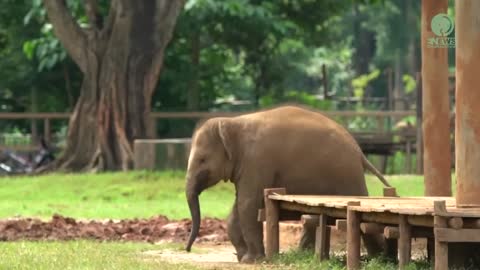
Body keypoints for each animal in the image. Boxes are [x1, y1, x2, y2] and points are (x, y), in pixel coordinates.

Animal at [184, 105, 390, 264]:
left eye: (202, 160)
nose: (187, 249)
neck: (233, 122)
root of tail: (359, 151)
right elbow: (239, 207)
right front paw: (243, 258)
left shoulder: (258, 160)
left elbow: (247, 204)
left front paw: (252, 260)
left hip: (346, 176)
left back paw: (380, 259)